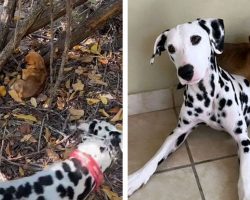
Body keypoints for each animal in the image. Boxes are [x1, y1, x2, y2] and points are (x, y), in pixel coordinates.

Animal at [129, 18, 250, 199]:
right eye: (171, 48)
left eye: (196, 39)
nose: (185, 71)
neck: (207, 95)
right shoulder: (178, 132)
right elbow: (155, 157)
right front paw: (136, 177)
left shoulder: (243, 139)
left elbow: (245, 177)